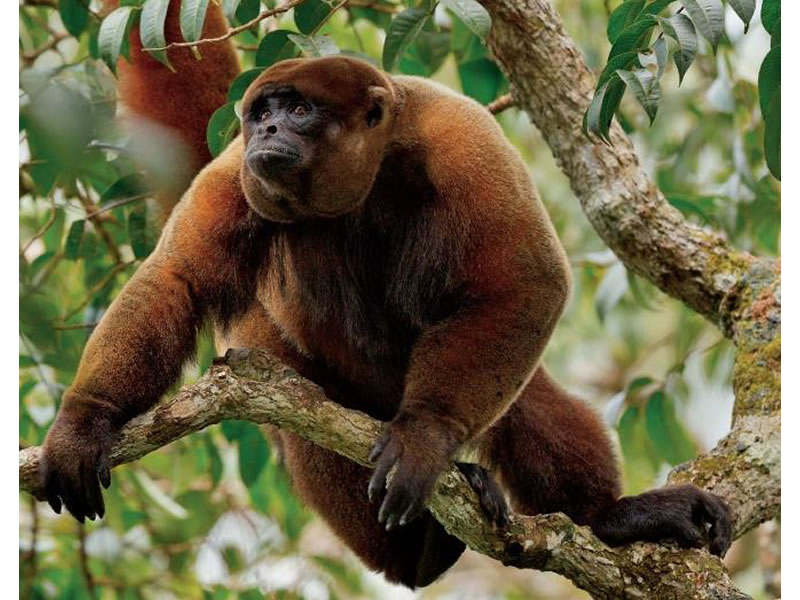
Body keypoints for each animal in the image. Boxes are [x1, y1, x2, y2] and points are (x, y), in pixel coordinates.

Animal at [39, 2, 732, 589]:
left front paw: (425, 436)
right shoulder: (239, 170)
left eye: (298, 111)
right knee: (303, 409)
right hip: (264, 339)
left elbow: (525, 281)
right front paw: (85, 420)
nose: (265, 129)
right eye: (262, 113)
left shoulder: (463, 134)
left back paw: (607, 516)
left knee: (523, 390)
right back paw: (414, 556)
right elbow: (176, 280)